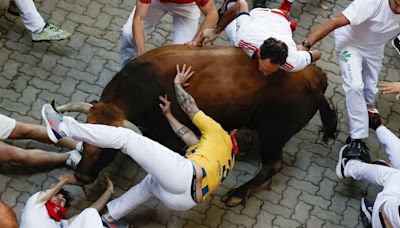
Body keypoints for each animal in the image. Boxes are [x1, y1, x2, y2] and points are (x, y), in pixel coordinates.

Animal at [62, 44, 338, 207]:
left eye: (108, 148)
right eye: (86, 139)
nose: (82, 176)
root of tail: (313, 78)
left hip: (274, 133)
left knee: (273, 165)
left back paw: (237, 194)